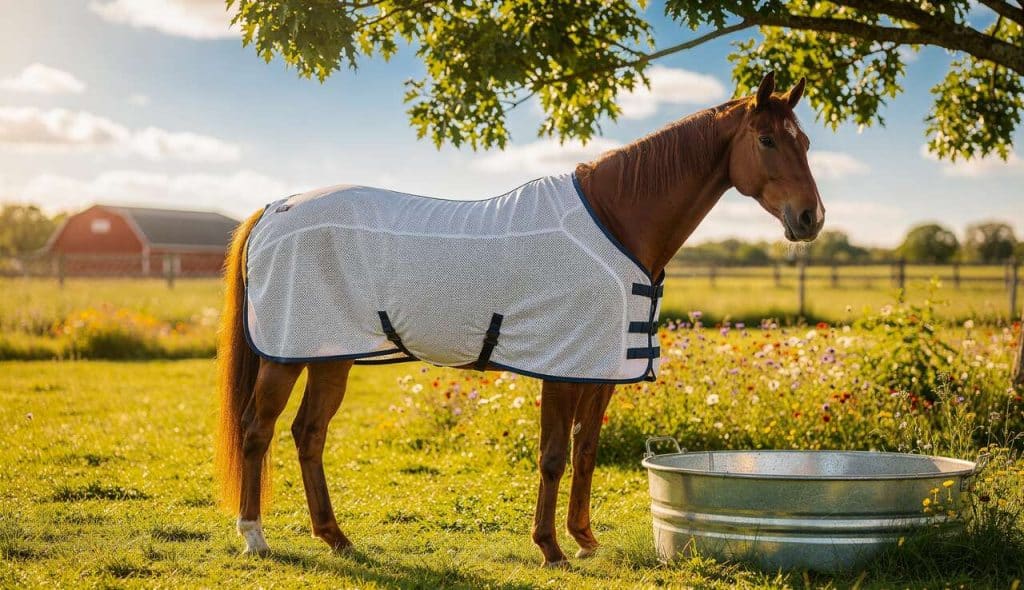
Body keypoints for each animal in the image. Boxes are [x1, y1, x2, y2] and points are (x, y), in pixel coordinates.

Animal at [214, 72, 824, 567]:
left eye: (806, 142)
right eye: (767, 140)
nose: (810, 218)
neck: (616, 222)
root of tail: (275, 208)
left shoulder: (600, 371)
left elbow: (585, 452)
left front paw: (585, 539)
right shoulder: (561, 367)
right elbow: (553, 457)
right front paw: (550, 547)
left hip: (329, 354)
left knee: (308, 433)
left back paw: (335, 537)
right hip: (286, 355)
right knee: (258, 430)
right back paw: (254, 536)